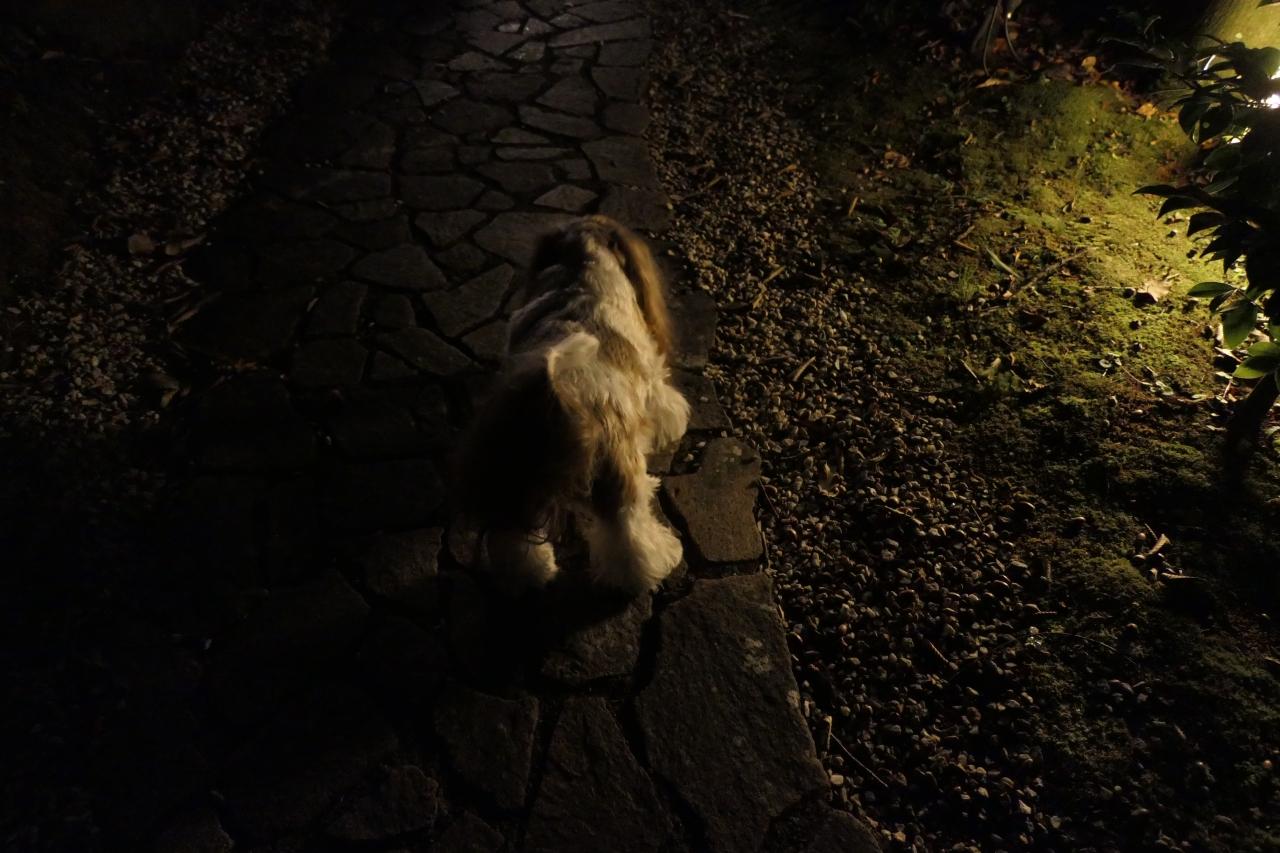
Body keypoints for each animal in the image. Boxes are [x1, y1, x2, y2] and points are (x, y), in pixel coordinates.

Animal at [455, 215, 690, 595]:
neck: (582, 274)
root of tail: (559, 392)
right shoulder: (652, 378)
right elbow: (666, 404)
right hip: (620, 478)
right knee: (628, 536)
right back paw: (651, 567)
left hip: (515, 483)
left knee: (513, 539)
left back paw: (530, 576)